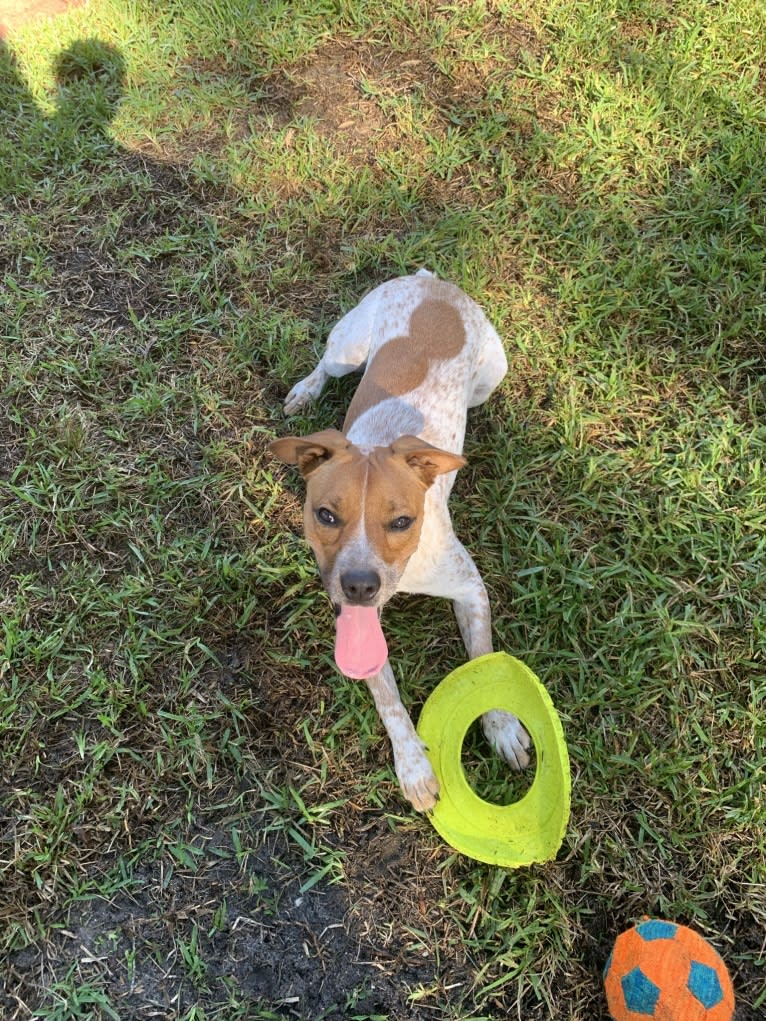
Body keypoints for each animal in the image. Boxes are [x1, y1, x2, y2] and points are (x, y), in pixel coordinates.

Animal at [273, 271, 531, 812]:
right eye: (325, 515)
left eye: (401, 521)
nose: (359, 587)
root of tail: (429, 281)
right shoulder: (356, 626)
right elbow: (388, 700)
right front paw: (413, 765)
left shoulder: (470, 589)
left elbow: (482, 661)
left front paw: (500, 727)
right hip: (348, 348)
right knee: (326, 365)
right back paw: (306, 391)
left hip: (488, 379)